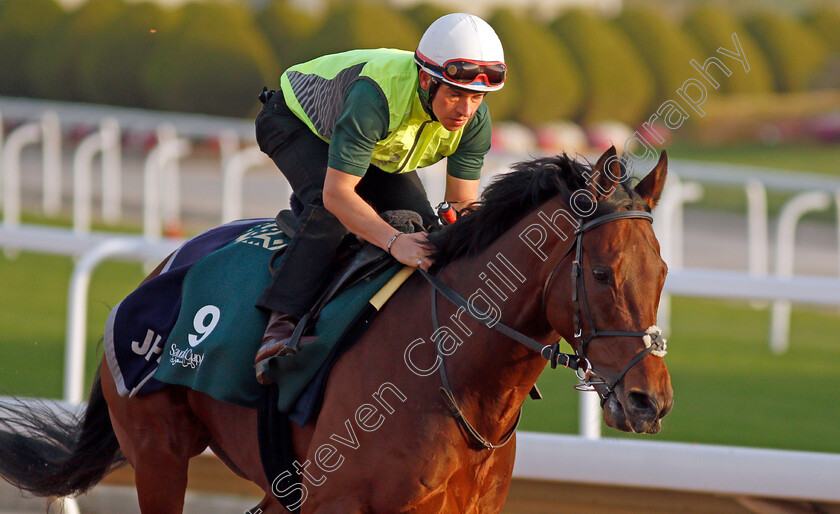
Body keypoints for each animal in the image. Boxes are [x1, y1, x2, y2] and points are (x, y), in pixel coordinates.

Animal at [0, 146, 672, 510]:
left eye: (663, 272)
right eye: (604, 274)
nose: (651, 401)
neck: (450, 373)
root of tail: (162, 266)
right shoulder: (338, 502)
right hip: (159, 452)